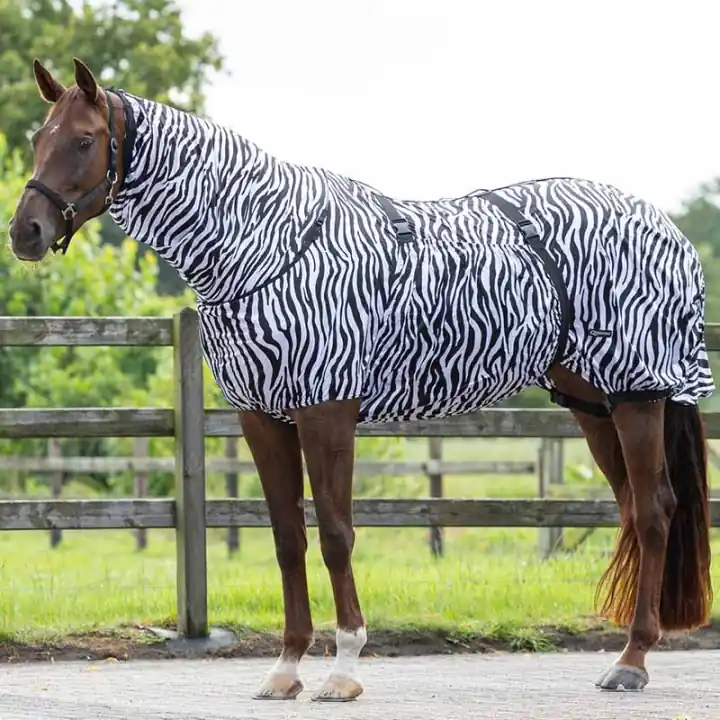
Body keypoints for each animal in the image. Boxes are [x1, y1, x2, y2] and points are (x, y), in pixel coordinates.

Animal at [9, 58, 715, 701]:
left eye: (83, 140)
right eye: (38, 136)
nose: (25, 232)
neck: (264, 245)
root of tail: (664, 226)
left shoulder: (327, 411)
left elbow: (336, 534)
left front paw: (344, 668)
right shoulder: (261, 418)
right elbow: (288, 539)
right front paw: (286, 669)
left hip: (638, 399)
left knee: (655, 512)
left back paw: (632, 660)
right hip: (592, 404)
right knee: (633, 509)